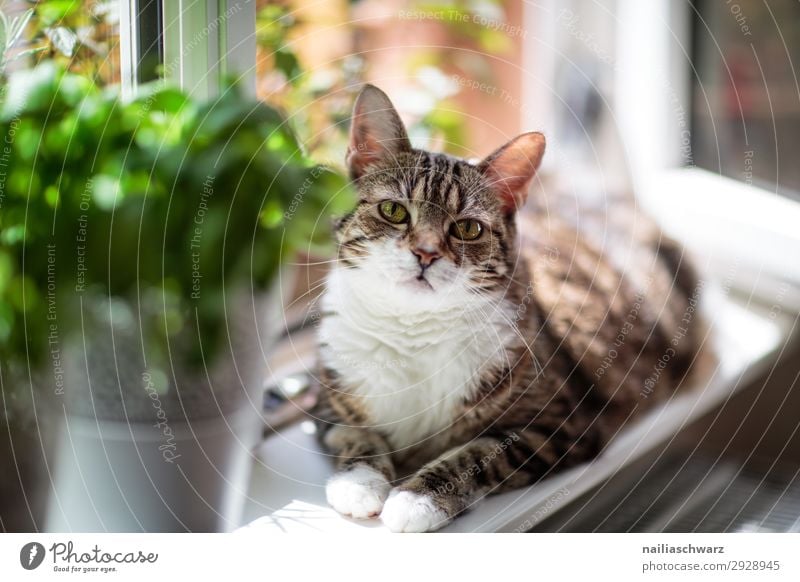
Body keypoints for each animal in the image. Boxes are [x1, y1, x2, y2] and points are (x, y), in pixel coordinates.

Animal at [312, 83, 708, 532]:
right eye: (393, 210)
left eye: (468, 228)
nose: (426, 253)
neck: (413, 328)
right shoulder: (325, 396)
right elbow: (351, 434)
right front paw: (360, 485)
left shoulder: (561, 425)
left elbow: (477, 455)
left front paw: (416, 499)